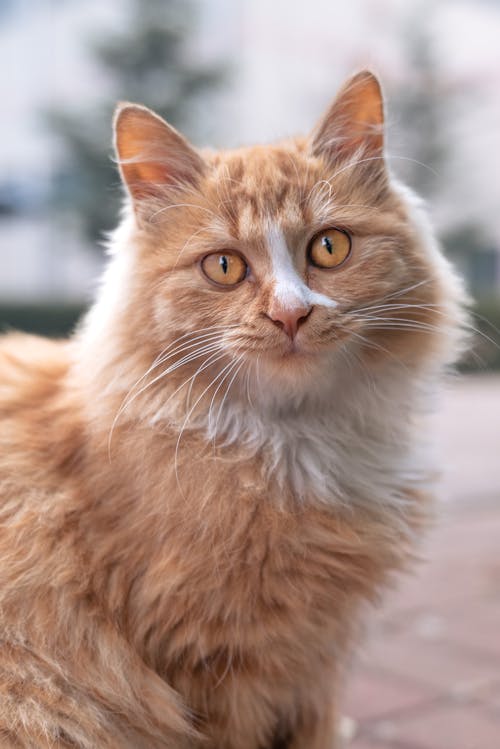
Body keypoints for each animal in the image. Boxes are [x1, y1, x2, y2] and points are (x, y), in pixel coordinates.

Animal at [0, 71, 468, 748]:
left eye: (330, 248)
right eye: (224, 266)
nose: (291, 314)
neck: (293, 445)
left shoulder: (317, 660)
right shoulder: (215, 661)